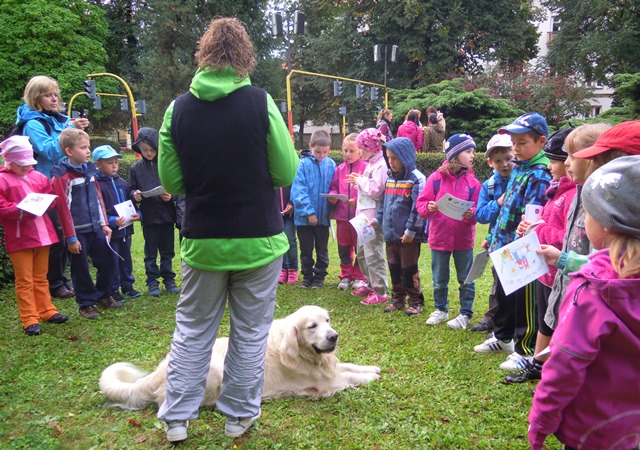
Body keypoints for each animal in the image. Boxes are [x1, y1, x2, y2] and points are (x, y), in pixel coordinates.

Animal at [99, 304, 380, 410]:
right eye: (312, 326)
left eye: (327, 320)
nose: (334, 336)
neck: (300, 352)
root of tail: (161, 367)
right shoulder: (321, 383)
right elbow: (349, 377)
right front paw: (370, 377)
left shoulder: (328, 368)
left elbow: (350, 366)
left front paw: (372, 368)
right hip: (212, 370)